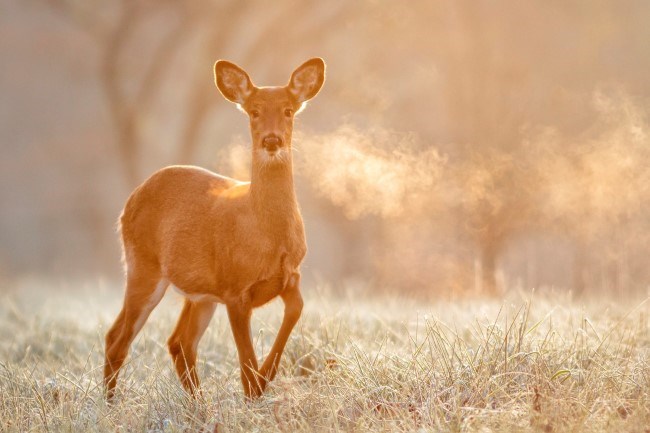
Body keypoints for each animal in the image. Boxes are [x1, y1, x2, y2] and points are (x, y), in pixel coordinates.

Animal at [105, 57, 324, 398]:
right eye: (253, 111)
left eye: (289, 110)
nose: (271, 140)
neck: (268, 234)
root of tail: (129, 201)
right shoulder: (235, 290)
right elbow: (246, 363)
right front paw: (255, 392)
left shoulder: (290, 277)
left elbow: (294, 313)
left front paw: (266, 378)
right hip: (144, 266)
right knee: (119, 340)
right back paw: (112, 404)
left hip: (200, 293)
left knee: (177, 341)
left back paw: (198, 404)